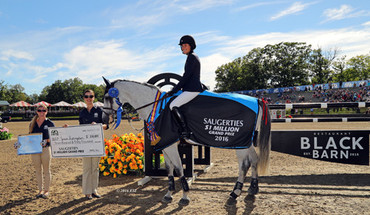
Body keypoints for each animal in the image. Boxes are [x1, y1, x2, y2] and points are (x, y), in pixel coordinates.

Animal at [101, 77, 272, 207]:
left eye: (107, 97)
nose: (105, 119)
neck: (157, 106)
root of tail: (257, 99)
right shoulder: (166, 145)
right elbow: (169, 169)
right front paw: (169, 194)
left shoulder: (170, 145)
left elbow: (178, 168)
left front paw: (184, 196)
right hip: (247, 142)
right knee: (254, 160)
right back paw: (251, 191)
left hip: (239, 143)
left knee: (244, 165)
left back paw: (235, 194)